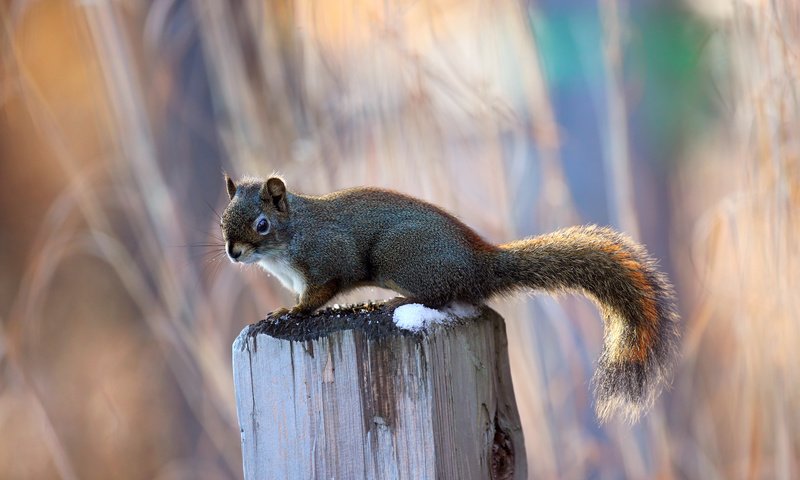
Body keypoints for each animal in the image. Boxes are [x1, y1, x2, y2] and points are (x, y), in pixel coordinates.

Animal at [220, 174, 680, 422]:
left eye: (261, 224)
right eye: (223, 220)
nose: (232, 252)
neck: (291, 237)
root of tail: (479, 263)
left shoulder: (329, 259)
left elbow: (320, 293)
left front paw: (290, 311)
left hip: (401, 256)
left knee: (441, 296)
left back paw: (395, 304)